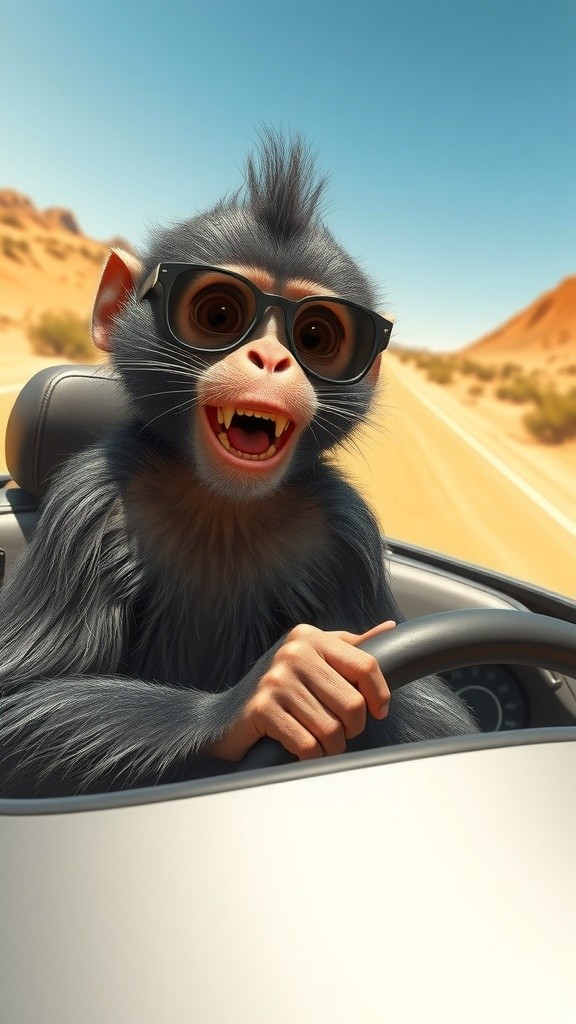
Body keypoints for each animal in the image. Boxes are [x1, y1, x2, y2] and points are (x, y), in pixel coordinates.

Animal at [0, 131, 477, 797]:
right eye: (219, 314)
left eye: (317, 336)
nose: (272, 360)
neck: (222, 502)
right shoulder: (87, 502)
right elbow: (16, 701)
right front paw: (272, 690)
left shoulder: (350, 531)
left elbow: (434, 710)